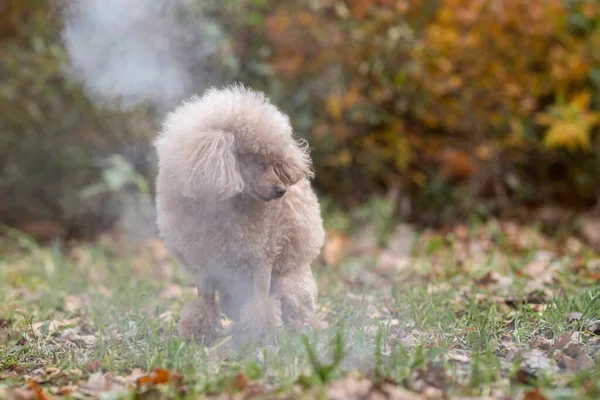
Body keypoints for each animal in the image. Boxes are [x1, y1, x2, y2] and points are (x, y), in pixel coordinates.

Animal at [154, 83, 324, 344]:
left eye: (276, 162)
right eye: (258, 161)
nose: (282, 190)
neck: (226, 207)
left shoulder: (261, 259)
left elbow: (260, 303)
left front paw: (261, 334)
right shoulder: (205, 267)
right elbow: (205, 304)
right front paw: (199, 334)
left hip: (291, 288)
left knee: (299, 317)